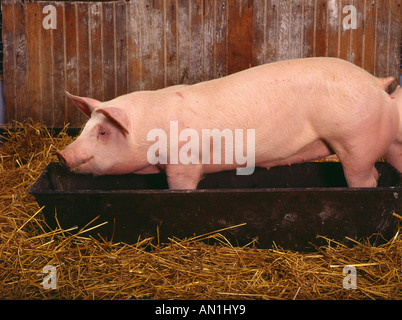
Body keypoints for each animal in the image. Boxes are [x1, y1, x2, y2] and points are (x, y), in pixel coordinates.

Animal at [56, 57, 398, 190]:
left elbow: (181, 185)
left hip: (355, 140)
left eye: (103, 131)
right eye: (84, 129)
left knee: (365, 178)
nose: (61, 154)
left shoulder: (185, 163)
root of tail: (377, 84)